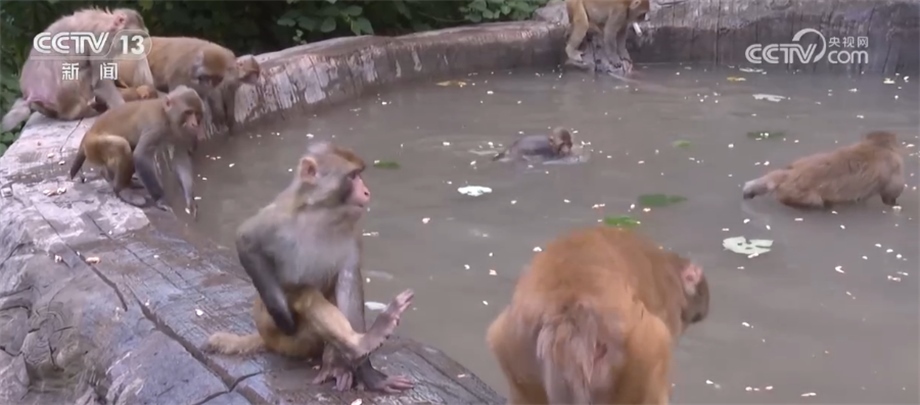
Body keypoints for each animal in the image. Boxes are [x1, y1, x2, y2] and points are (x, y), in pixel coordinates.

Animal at [1, 8, 155, 131]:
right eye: (135, 37)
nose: (139, 45)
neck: (108, 25)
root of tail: (32, 94)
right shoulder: (101, 43)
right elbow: (100, 81)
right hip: (65, 95)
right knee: (87, 73)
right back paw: (80, 113)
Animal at [68, 85, 205, 217]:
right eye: (188, 112)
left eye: (196, 113)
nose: (194, 124)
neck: (167, 116)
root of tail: (88, 133)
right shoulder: (156, 126)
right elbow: (141, 156)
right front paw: (161, 200)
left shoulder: (179, 132)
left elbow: (179, 158)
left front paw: (190, 199)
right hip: (94, 145)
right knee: (122, 146)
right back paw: (122, 189)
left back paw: (115, 178)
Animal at [203, 142, 415, 394]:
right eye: (353, 176)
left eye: (359, 175)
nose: (366, 191)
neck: (322, 215)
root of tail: (265, 339)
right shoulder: (278, 216)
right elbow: (245, 241)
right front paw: (283, 315)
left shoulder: (352, 231)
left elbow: (348, 282)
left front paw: (370, 375)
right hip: (279, 337)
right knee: (303, 293)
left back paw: (344, 358)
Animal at [742, 130, 906, 209]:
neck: (876, 146)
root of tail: (790, 174)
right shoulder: (894, 165)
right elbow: (891, 192)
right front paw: (894, 204)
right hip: (798, 194)